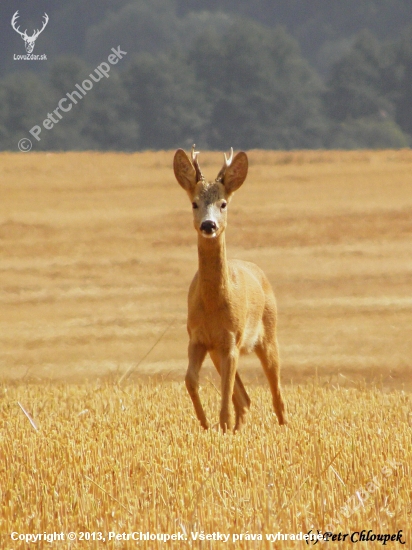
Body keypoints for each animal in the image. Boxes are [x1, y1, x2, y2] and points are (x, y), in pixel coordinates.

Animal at [173, 147, 286, 436]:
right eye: (194, 203)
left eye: (223, 204)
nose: (208, 225)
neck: (213, 305)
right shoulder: (198, 338)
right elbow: (190, 379)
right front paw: (205, 424)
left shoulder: (231, 339)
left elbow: (225, 390)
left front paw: (221, 425)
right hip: (218, 350)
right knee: (245, 399)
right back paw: (236, 429)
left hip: (269, 334)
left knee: (276, 392)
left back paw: (283, 428)